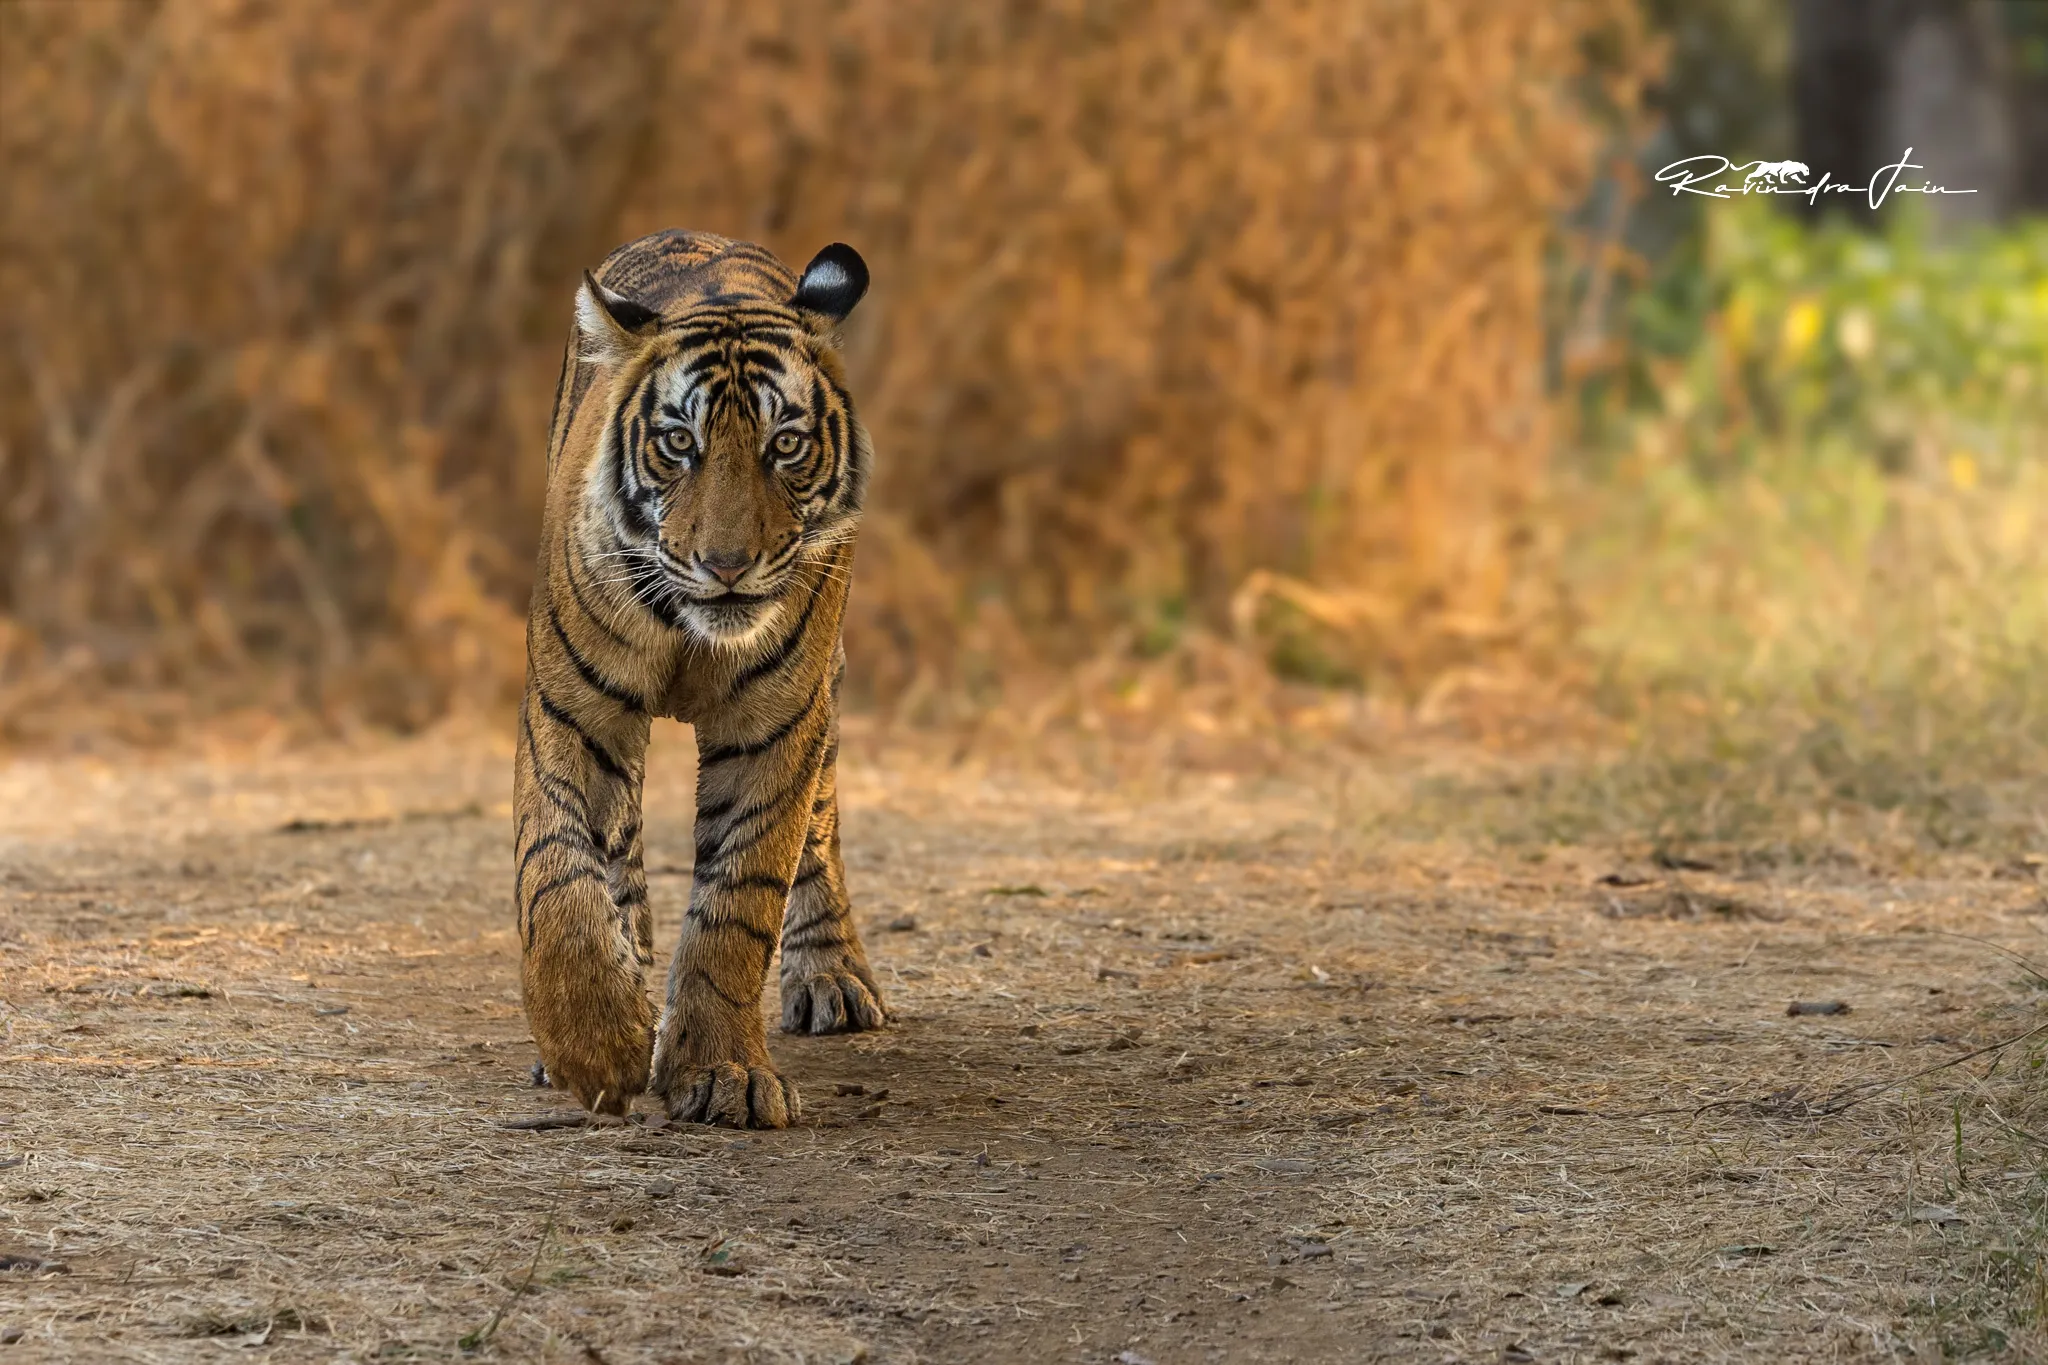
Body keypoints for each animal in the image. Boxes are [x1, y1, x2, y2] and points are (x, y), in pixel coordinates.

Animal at [514, 230, 886, 1128]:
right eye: (679, 442)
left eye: (785, 444)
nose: (726, 566)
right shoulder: (569, 713)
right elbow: (556, 874)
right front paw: (595, 1043)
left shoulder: (776, 728)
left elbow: (739, 904)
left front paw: (723, 1071)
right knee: (615, 845)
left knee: (821, 827)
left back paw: (832, 976)